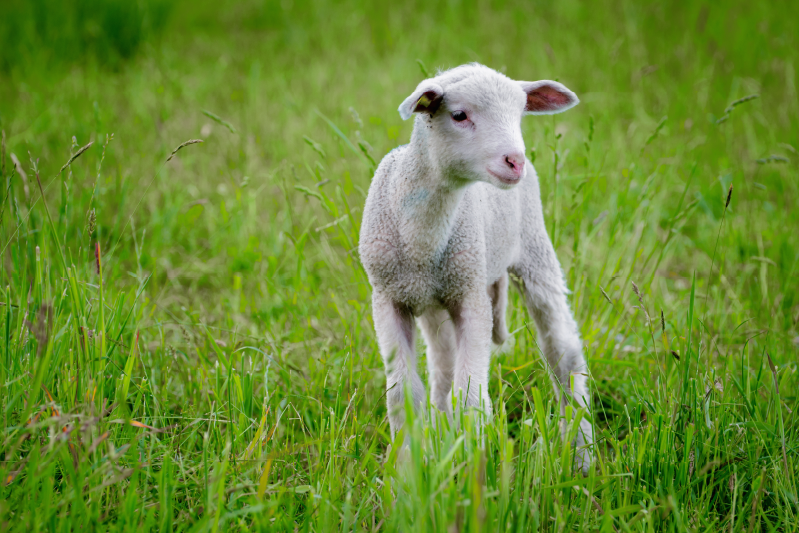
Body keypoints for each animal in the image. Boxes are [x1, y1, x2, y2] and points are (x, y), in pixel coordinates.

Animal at [358, 63, 593, 473]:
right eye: (459, 115)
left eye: (519, 115)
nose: (515, 161)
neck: (421, 241)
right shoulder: (388, 298)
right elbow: (404, 395)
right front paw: (407, 472)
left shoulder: (471, 297)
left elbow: (469, 396)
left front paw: (472, 467)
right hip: (439, 301)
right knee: (442, 369)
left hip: (533, 248)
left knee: (564, 353)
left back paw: (581, 454)